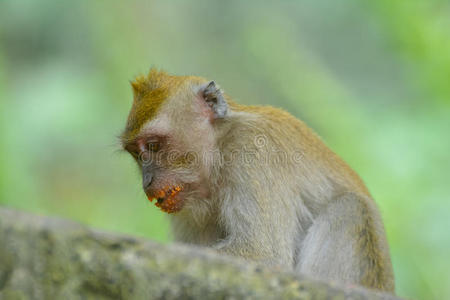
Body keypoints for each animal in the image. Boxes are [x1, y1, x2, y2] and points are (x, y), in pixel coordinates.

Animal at [118, 68, 394, 292]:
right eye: (137, 155)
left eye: (153, 145)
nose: (147, 181)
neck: (222, 146)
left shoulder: (252, 151)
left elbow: (262, 255)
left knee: (352, 208)